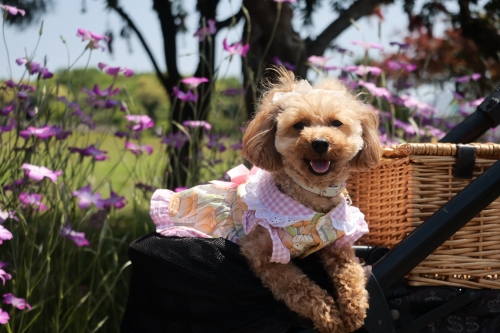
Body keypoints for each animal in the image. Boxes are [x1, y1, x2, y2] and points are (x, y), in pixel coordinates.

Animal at [150, 67, 380, 332]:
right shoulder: (263, 254)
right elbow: (300, 287)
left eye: (336, 123)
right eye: (299, 125)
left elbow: (350, 270)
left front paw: (354, 309)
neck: (310, 198)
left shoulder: (336, 244)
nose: (320, 143)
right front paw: (330, 317)